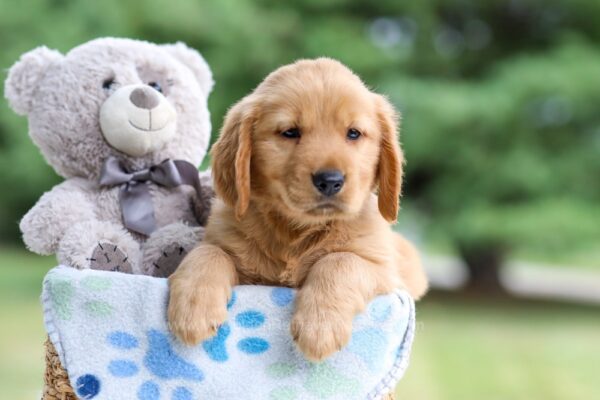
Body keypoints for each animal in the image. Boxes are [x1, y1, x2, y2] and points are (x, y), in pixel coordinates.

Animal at [168, 57, 426, 360]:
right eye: (290, 132)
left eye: (354, 133)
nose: (330, 180)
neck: (295, 231)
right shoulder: (229, 246)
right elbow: (208, 252)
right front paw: (193, 308)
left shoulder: (383, 270)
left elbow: (339, 260)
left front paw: (320, 326)